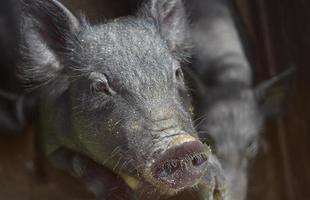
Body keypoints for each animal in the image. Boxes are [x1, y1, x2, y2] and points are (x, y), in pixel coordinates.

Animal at [20, 0, 226, 199]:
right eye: (99, 87)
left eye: (177, 72)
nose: (180, 146)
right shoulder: (48, 139)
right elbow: (77, 163)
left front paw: (217, 186)